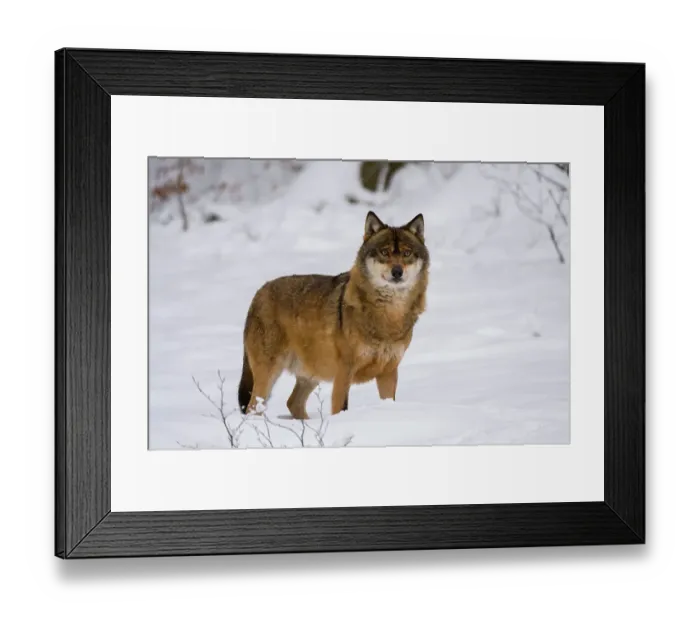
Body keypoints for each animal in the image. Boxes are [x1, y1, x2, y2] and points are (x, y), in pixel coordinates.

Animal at [237, 211, 429, 420]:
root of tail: (258, 294)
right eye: (384, 253)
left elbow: (388, 401)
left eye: (407, 253)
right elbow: (341, 407)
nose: (397, 272)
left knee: (292, 402)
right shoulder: (344, 372)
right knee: (253, 407)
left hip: (311, 375)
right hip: (269, 375)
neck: (389, 316)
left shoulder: (389, 371)